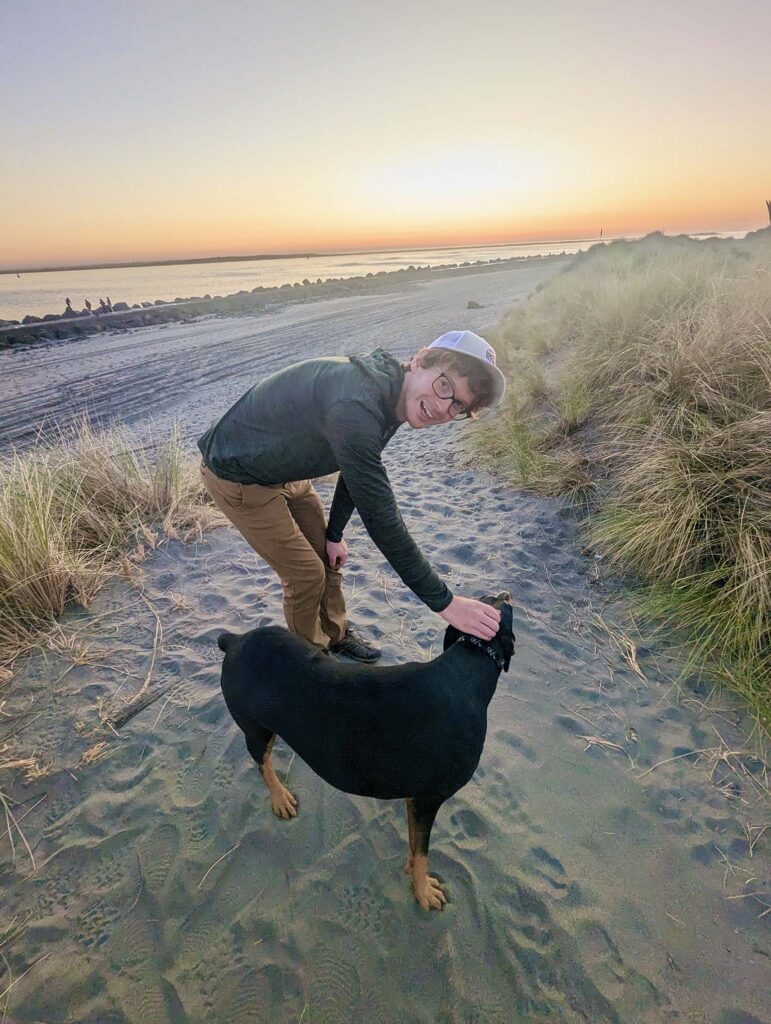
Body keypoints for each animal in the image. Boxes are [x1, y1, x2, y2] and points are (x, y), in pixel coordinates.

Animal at [219, 593, 514, 913]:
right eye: (503, 603)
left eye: (491, 599)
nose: (506, 593)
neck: (472, 661)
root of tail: (235, 640)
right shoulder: (430, 797)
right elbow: (423, 851)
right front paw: (423, 891)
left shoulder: (415, 797)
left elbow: (414, 841)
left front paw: (412, 871)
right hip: (255, 728)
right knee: (262, 763)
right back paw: (279, 797)